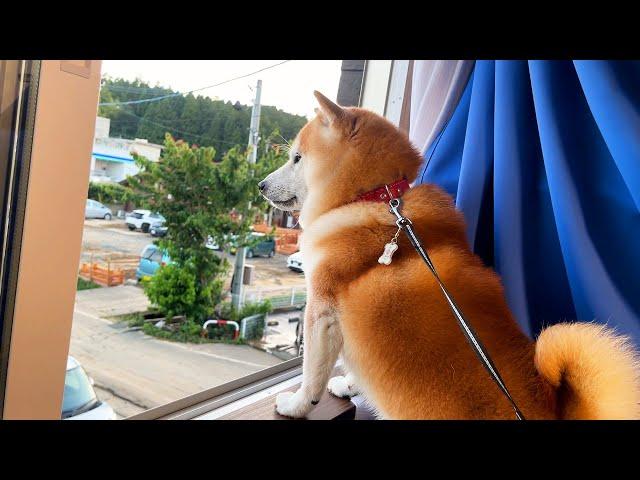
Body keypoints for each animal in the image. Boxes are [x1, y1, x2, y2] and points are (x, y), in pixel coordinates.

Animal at [258, 91, 636, 420]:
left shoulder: (321, 311)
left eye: (296, 158)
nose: (260, 185)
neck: (377, 197)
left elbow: (312, 375)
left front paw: (296, 406)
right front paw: (351, 386)